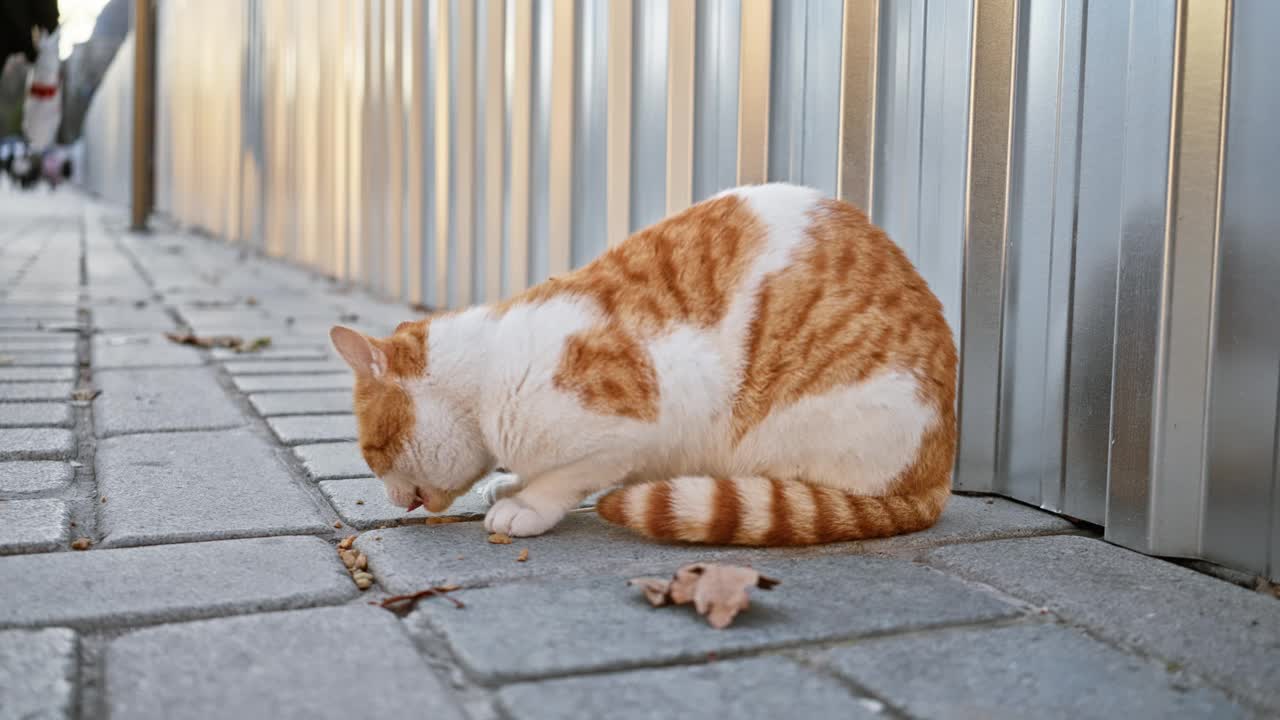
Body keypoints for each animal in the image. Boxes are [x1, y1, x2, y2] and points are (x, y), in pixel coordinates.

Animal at [335, 180, 957, 543]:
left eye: (372, 452)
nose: (391, 499)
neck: (486, 373)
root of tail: (939, 472)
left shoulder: (644, 415)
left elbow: (570, 476)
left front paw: (527, 504)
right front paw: (511, 483)